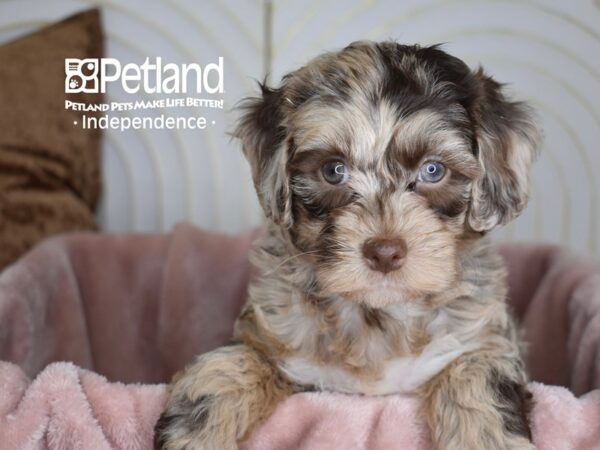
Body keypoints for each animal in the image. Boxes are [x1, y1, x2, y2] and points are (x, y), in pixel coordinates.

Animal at [154, 41, 540, 450]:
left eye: (433, 170)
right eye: (334, 170)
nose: (384, 252)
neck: (377, 314)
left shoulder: (481, 341)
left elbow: (475, 379)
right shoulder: (276, 345)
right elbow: (230, 365)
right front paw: (194, 433)